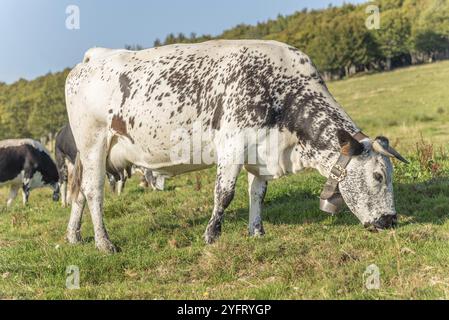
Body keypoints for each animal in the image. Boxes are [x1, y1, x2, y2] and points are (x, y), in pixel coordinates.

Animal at [65, 39, 406, 252]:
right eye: (378, 176)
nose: (390, 220)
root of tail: (93, 57)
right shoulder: (232, 145)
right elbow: (224, 194)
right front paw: (212, 235)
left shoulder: (261, 152)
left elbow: (257, 193)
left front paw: (256, 231)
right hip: (93, 142)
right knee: (94, 191)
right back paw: (104, 243)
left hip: (88, 153)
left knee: (79, 191)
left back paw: (74, 237)